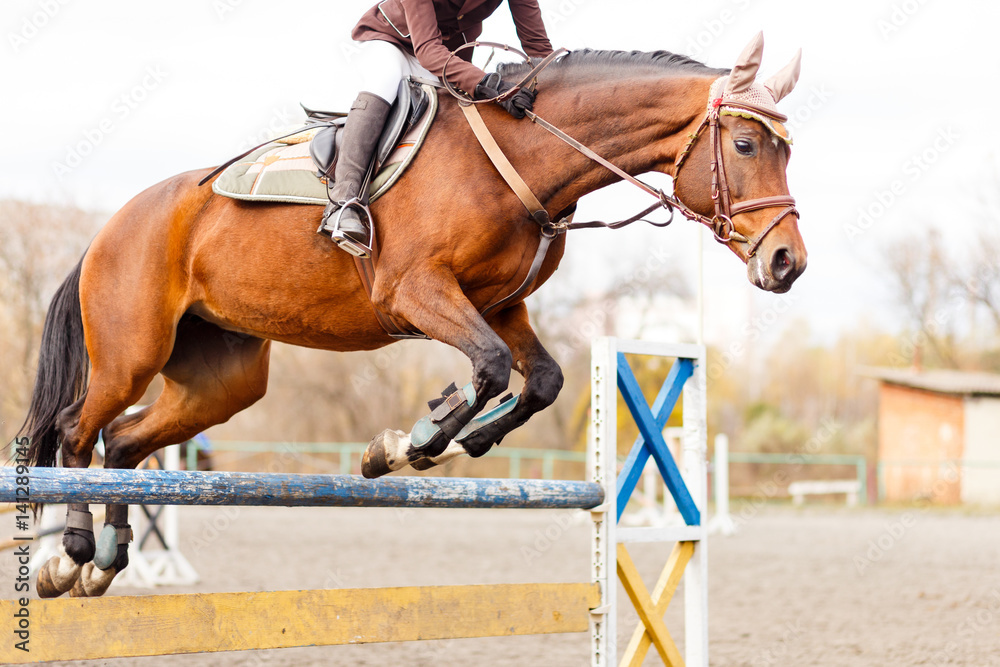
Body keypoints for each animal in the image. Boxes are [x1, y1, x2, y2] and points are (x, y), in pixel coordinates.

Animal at [18, 33, 806, 598]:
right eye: (744, 145)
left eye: (786, 150)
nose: (787, 263)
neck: (523, 157)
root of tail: (110, 225)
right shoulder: (417, 292)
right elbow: (490, 367)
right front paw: (411, 443)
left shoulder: (498, 303)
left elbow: (539, 380)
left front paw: (438, 444)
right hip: (131, 352)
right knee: (77, 431)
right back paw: (72, 557)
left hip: (221, 381)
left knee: (125, 442)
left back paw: (106, 561)